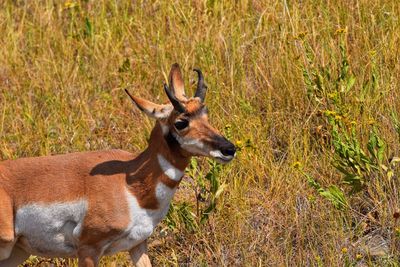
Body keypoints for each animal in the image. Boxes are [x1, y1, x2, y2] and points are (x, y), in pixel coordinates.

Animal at [0, 63, 234, 266]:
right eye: (181, 122)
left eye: (206, 114)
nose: (229, 149)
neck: (131, 186)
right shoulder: (88, 248)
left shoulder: (138, 244)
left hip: (16, 252)